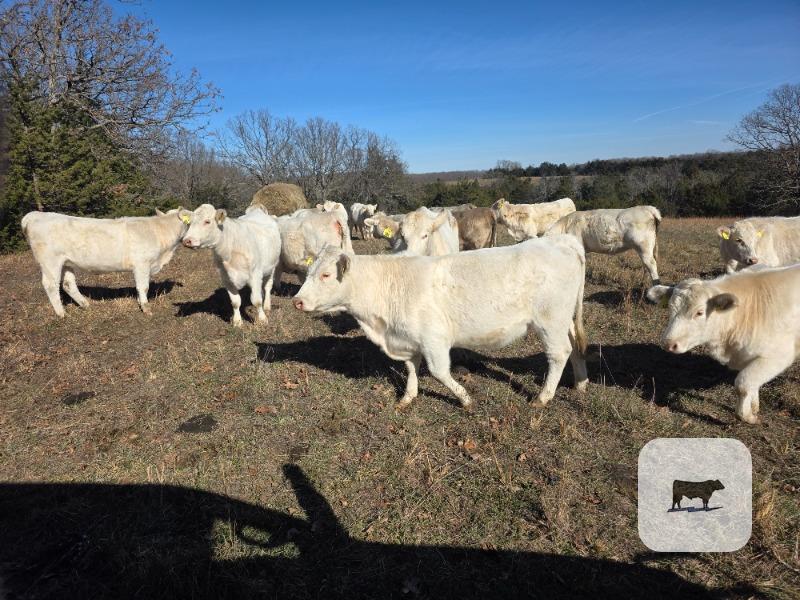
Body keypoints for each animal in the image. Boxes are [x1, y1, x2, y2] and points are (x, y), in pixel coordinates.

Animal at [21, 210, 188, 317]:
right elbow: (143, 287)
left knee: (68, 284)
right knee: (50, 285)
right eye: (193, 220)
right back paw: (62, 313)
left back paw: (85, 304)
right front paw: (146, 308)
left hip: (66, 262)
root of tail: (35, 215)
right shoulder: (142, 264)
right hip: (50, 262)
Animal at [291, 235, 589, 410]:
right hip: (564, 321)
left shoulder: (434, 339)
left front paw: (465, 398)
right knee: (575, 347)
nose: (297, 301)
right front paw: (408, 397)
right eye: (309, 272)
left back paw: (542, 397)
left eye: (326, 275)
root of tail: (560, 240)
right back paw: (581, 384)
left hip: (550, 321)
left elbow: (439, 372)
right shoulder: (408, 339)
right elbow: (412, 367)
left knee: (559, 354)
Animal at [647, 264, 800, 423]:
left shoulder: (778, 356)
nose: (669, 343)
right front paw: (754, 407)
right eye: (670, 308)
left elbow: (743, 384)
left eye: (700, 312)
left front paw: (747, 416)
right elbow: (752, 383)